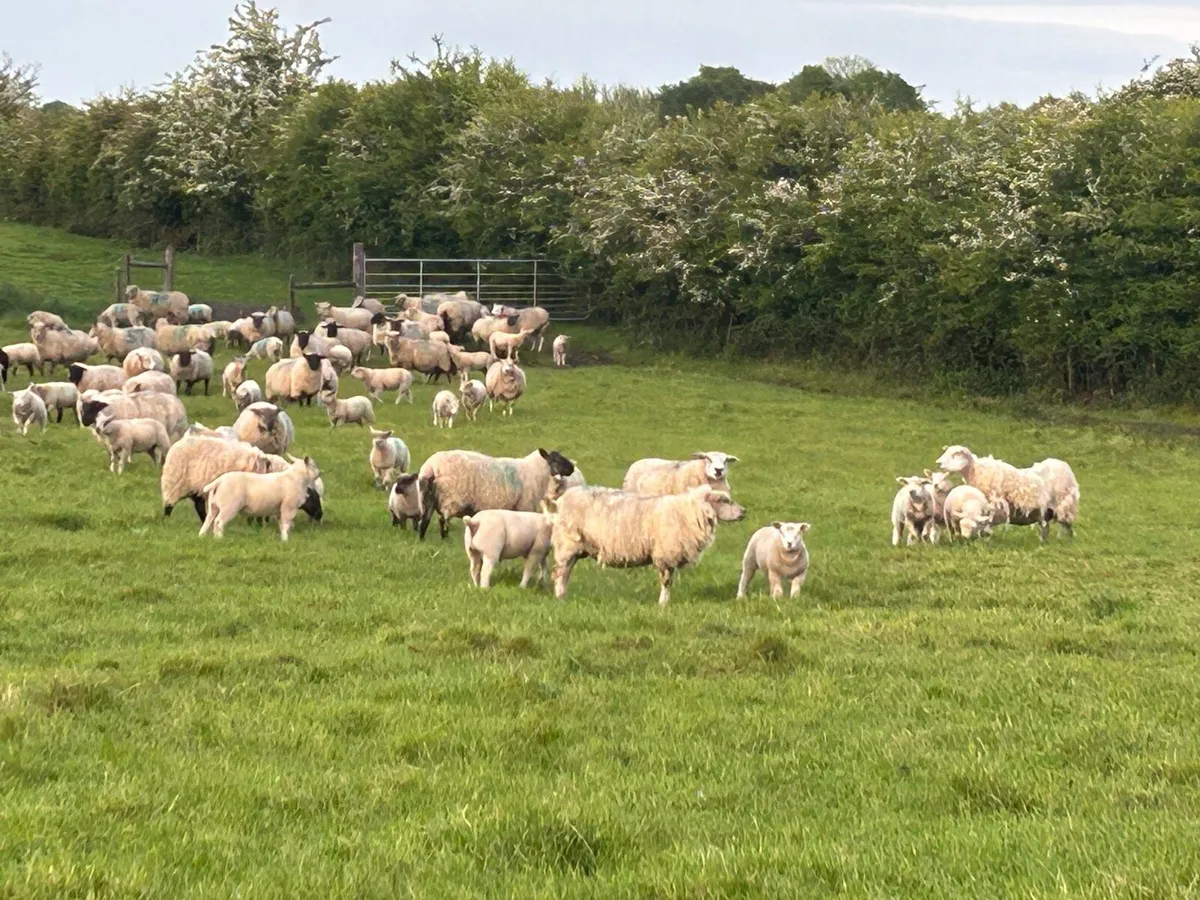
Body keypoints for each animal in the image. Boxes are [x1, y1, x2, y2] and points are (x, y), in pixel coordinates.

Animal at [416, 448, 576, 540]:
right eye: (556, 459)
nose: (572, 468)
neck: (534, 470)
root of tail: (431, 467)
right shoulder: (524, 505)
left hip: (427, 498)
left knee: (424, 521)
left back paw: (423, 539)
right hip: (449, 498)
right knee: (443, 520)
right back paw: (445, 540)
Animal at [552, 485, 746, 606]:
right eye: (723, 500)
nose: (745, 512)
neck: (687, 512)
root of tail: (563, 499)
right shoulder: (665, 554)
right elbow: (666, 581)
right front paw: (663, 604)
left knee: (566, 573)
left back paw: (563, 597)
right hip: (567, 544)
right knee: (561, 573)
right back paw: (560, 597)